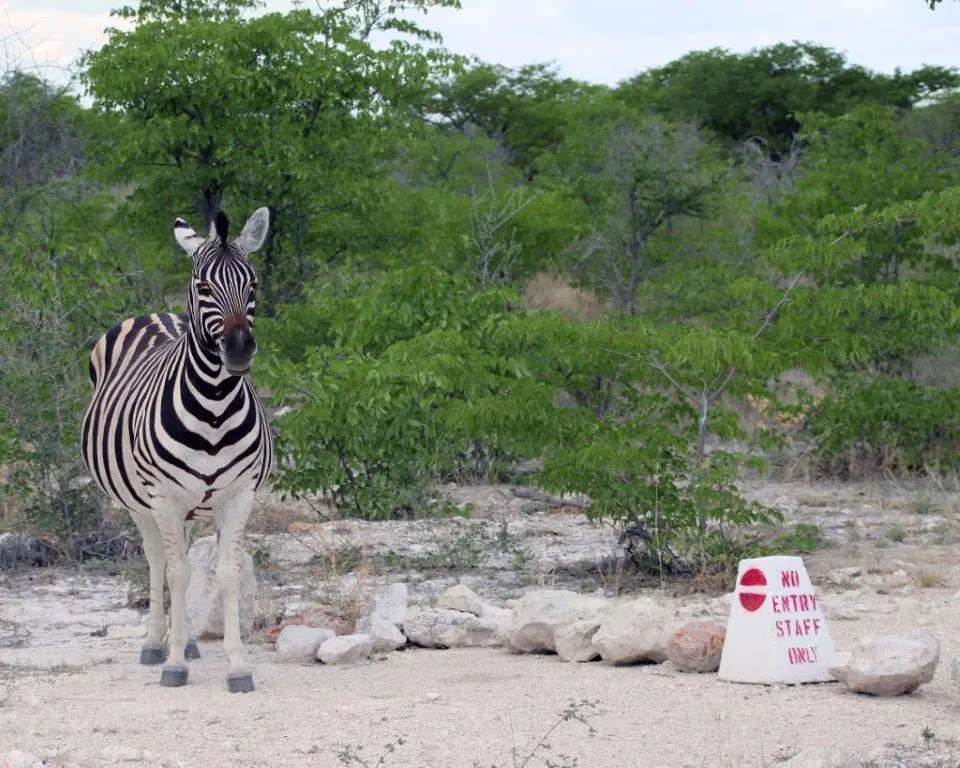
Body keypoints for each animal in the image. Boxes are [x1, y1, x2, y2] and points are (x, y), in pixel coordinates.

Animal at [81, 207, 274, 693]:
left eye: (253, 283)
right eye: (202, 285)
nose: (238, 351)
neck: (214, 408)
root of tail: (154, 314)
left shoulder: (239, 496)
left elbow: (226, 574)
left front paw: (237, 666)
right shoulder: (162, 497)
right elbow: (176, 572)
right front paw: (172, 666)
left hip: (184, 505)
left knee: (178, 554)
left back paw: (184, 642)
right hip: (139, 500)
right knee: (157, 562)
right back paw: (157, 644)